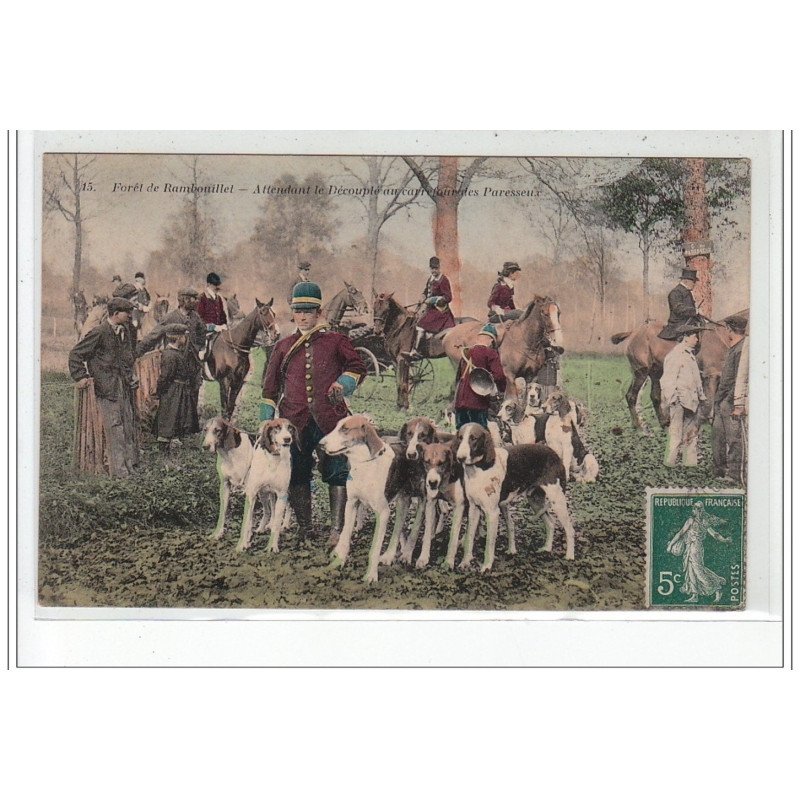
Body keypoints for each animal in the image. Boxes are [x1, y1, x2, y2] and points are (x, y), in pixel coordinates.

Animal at [608, 310, 748, 434]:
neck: (723, 337)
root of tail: (634, 332)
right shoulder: (712, 376)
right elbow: (710, 401)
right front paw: (708, 422)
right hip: (641, 373)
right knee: (631, 396)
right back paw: (638, 426)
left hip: (656, 373)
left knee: (655, 396)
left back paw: (664, 424)